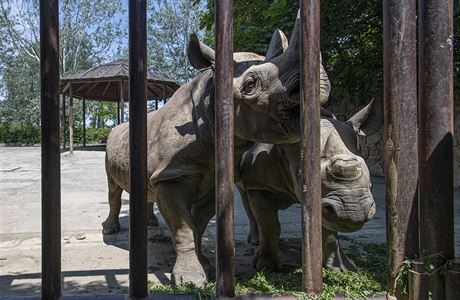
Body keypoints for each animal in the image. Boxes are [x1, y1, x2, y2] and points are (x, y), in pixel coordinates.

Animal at [102, 14, 322, 286]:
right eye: (250, 85)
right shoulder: (172, 174)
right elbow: (184, 227)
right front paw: (190, 279)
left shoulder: (211, 176)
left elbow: (197, 223)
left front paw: (204, 266)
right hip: (111, 145)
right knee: (113, 187)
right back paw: (109, 229)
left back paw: (150, 224)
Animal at [235, 100, 382, 272]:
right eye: (300, 176)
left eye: (371, 185)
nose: (353, 212)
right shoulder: (259, 186)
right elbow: (270, 227)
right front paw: (265, 266)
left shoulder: (326, 205)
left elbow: (329, 233)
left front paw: (342, 267)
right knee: (244, 194)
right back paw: (255, 241)